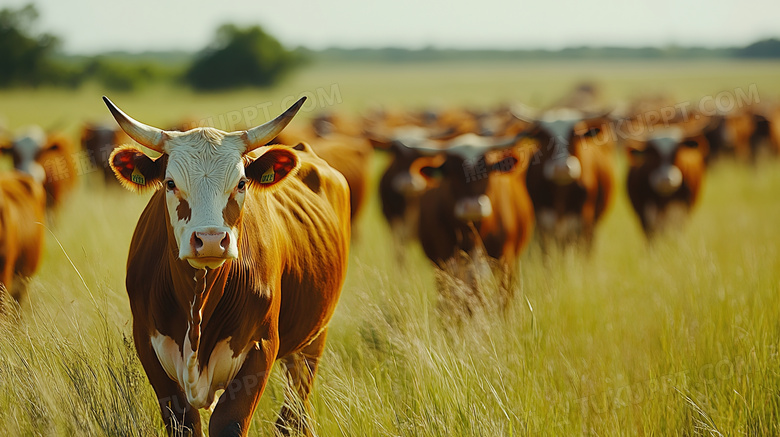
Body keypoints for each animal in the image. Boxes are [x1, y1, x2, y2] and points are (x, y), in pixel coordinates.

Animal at [103, 96, 350, 436]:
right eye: (170, 183)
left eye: (242, 183)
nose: (209, 240)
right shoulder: (149, 349)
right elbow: (184, 423)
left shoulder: (260, 349)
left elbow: (228, 422)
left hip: (314, 339)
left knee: (295, 408)